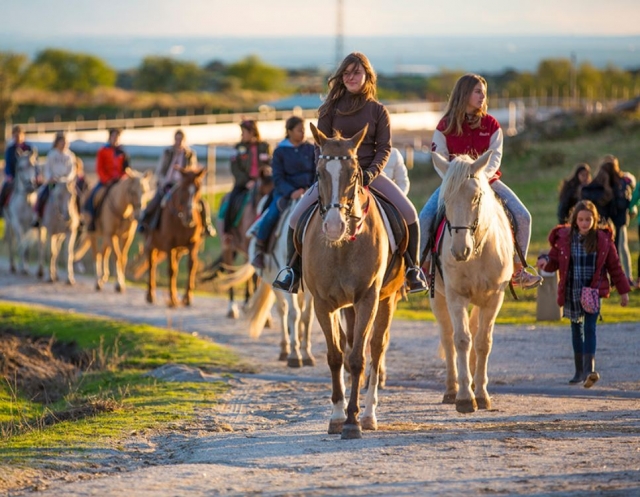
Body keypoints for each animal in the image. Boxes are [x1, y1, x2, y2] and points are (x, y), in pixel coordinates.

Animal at [144, 168, 206, 307]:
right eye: (183, 188)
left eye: (198, 189)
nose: (190, 218)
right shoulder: (169, 245)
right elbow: (171, 270)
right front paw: (172, 299)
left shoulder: (193, 244)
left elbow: (191, 266)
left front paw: (187, 298)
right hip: (151, 245)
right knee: (152, 264)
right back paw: (150, 295)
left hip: (179, 250)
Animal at [211, 199, 316, 367]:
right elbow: (294, 314)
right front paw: (295, 355)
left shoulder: (312, 290)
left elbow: (307, 316)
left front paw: (306, 354)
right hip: (272, 282)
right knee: (283, 310)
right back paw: (285, 349)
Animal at [303, 123, 405, 439]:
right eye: (319, 172)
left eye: (354, 173)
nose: (334, 226)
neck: (341, 248)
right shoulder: (323, 303)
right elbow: (336, 356)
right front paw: (337, 416)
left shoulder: (367, 300)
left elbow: (359, 358)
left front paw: (352, 421)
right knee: (349, 347)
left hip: (385, 300)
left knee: (376, 349)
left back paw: (369, 413)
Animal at [428, 151, 514, 413]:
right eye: (445, 199)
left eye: (476, 197)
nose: (459, 250)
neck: (478, 251)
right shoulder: (456, 296)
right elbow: (462, 340)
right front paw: (465, 397)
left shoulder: (494, 298)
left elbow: (483, 342)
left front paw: (482, 394)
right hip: (438, 299)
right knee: (447, 338)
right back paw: (451, 390)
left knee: (476, 333)